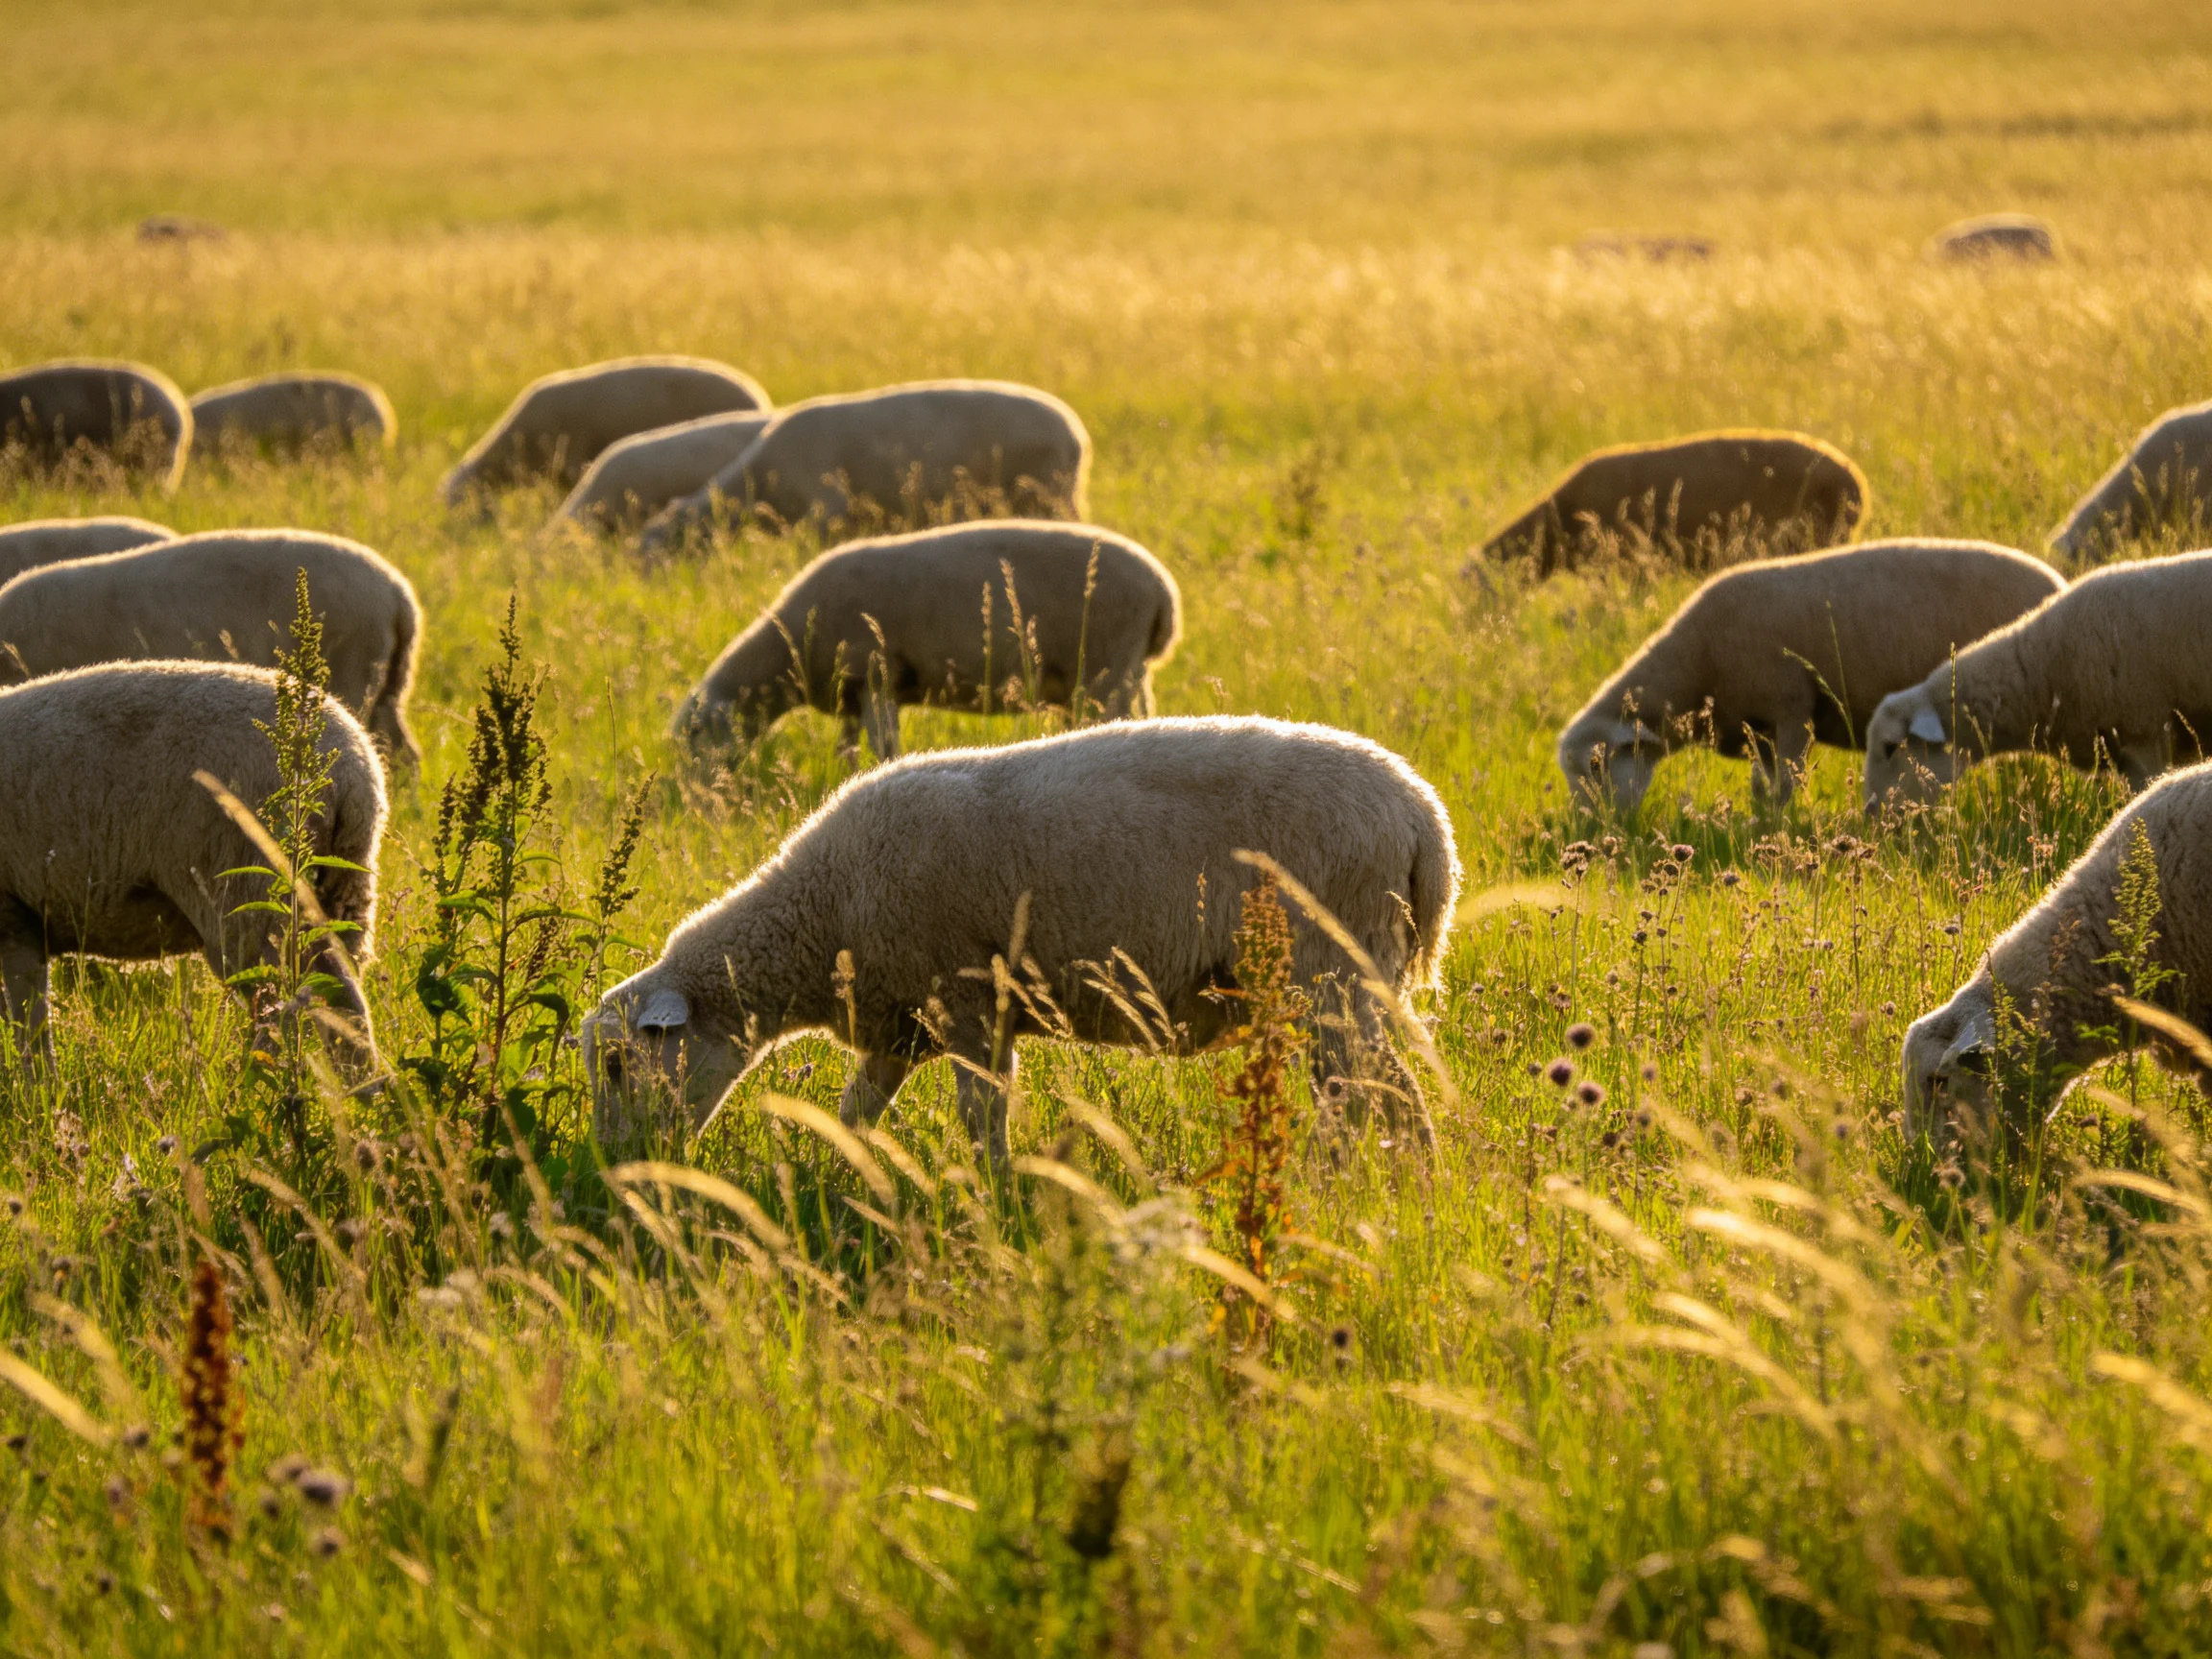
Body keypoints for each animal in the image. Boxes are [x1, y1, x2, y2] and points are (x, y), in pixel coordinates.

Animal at [0, 659, 384, 1075]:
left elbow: (24, 1022)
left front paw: (34, 1086)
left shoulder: (11, 917)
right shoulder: (23, 920)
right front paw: (42, 1085)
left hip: (250, 893)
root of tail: (353, 769)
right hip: (342, 891)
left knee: (290, 1004)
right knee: (343, 1004)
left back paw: (256, 1080)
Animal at [582, 715, 1461, 1164]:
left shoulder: (973, 1004)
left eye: (621, 1063)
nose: (614, 1168)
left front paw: (994, 1199)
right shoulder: (901, 1028)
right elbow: (855, 1115)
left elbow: (983, 1119)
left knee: (1385, 1104)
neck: (821, 912)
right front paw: (836, 1181)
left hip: (1331, 976)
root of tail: (1425, 819)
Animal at [675, 521, 1181, 761]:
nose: (700, 805)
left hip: (1105, 668)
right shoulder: (852, 693)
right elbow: (848, 749)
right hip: (1126, 672)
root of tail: (1163, 593)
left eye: (696, 734)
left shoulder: (874, 674)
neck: (790, 647)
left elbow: (884, 746)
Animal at [1560, 539, 2064, 815]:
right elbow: (1763, 787)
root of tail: (2056, 582)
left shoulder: (1790, 709)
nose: (1596, 831)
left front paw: (1782, 825)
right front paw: (1762, 819)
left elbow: (1787, 785)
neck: (1696, 663)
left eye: (1597, 766)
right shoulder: (1758, 727)